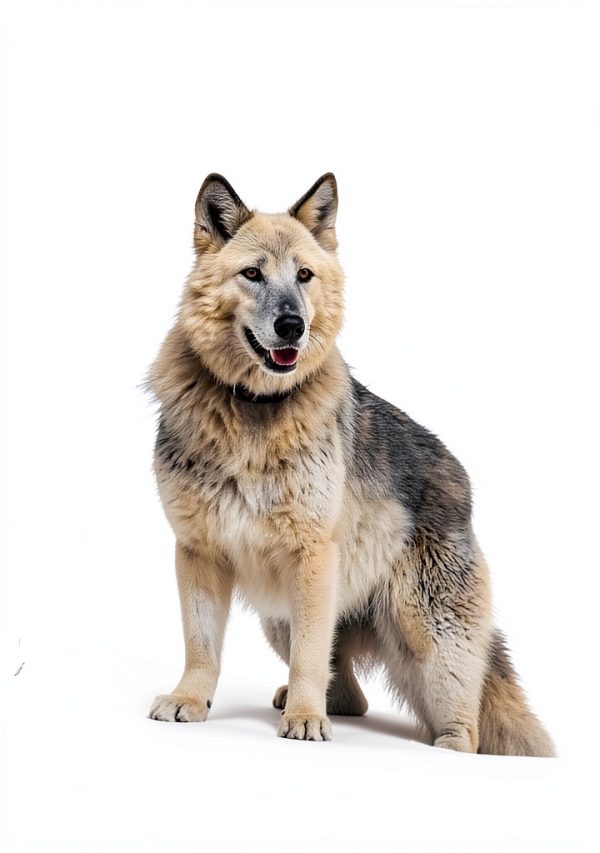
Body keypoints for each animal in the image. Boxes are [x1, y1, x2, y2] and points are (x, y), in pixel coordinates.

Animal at [147, 172, 554, 755]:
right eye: (252, 274)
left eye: (304, 275)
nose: (291, 325)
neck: (253, 411)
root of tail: (462, 479)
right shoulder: (197, 552)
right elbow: (201, 645)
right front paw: (190, 700)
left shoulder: (313, 557)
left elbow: (310, 658)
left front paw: (304, 721)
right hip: (279, 616)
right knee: (351, 695)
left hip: (429, 635)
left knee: (465, 714)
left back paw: (445, 746)